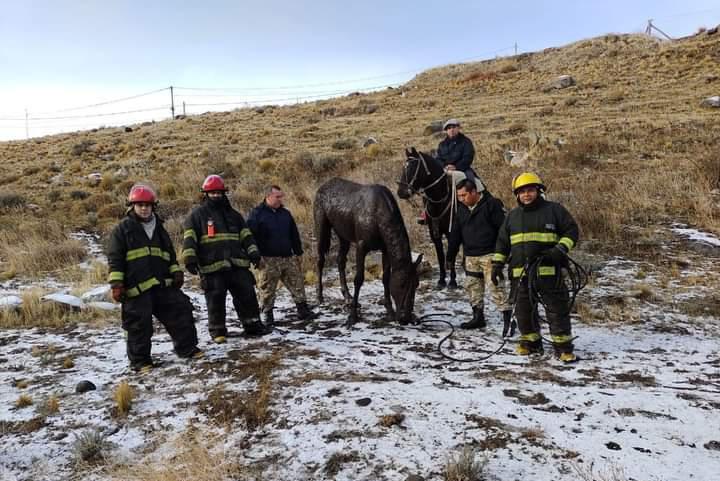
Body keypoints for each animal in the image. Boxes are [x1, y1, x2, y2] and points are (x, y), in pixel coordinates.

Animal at [314, 177, 423, 326]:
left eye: (417, 284)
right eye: (402, 284)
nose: (405, 318)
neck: (379, 219)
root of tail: (321, 187)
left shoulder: (385, 250)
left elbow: (386, 278)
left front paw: (390, 312)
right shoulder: (361, 247)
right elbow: (358, 279)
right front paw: (353, 316)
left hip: (343, 236)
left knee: (340, 260)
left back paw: (347, 296)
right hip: (322, 229)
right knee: (320, 260)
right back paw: (319, 296)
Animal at [397, 147, 457, 289]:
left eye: (413, 168)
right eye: (403, 167)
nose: (401, 192)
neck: (440, 199)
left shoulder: (451, 232)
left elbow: (451, 254)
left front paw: (452, 281)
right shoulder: (434, 232)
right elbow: (440, 255)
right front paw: (441, 280)